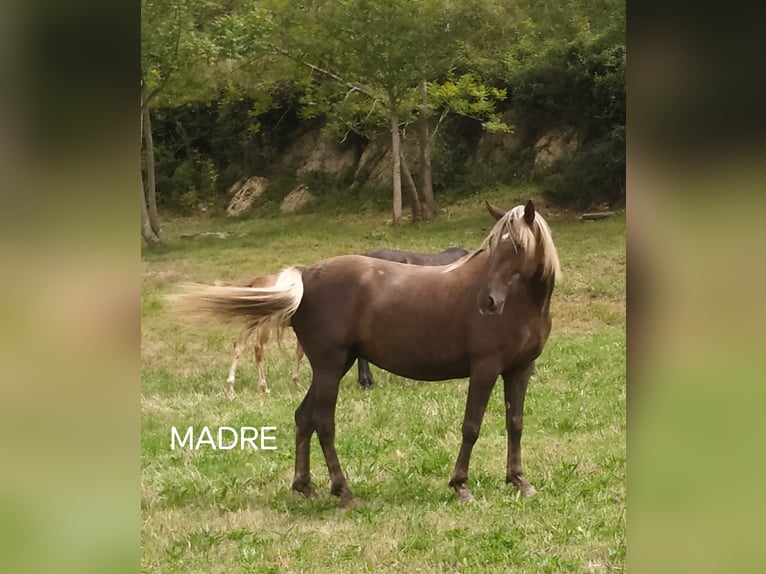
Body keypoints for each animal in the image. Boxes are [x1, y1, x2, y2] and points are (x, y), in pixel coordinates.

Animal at [225, 245, 472, 398]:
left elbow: (299, 352)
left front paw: (297, 382)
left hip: (252, 322)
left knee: (239, 345)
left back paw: (231, 387)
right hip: (264, 323)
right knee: (257, 349)